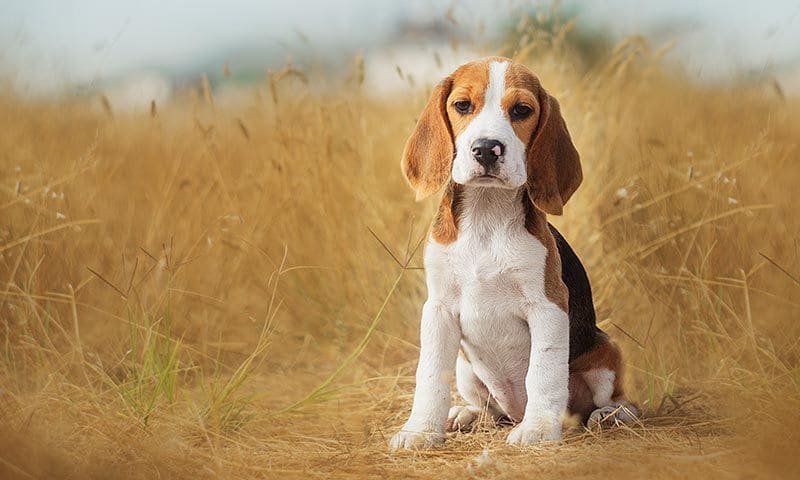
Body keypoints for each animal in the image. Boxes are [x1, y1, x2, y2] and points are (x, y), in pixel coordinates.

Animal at [390, 57, 636, 450]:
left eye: (522, 110)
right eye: (463, 106)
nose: (486, 148)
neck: (486, 213)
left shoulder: (548, 305)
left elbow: (543, 373)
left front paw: (538, 430)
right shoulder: (438, 309)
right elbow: (429, 375)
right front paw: (421, 431)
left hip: (607, 354)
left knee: (614, 401)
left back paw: (611, 415)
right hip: (465, 368)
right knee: (493, 410)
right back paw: (466, 414)